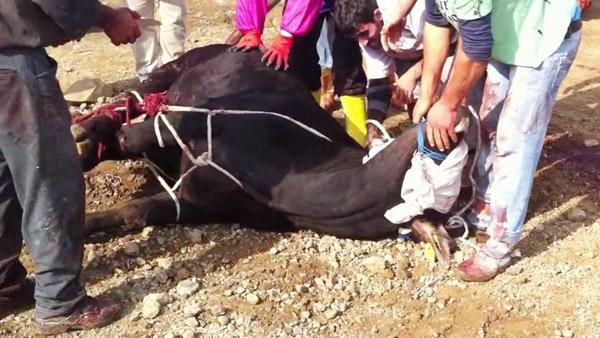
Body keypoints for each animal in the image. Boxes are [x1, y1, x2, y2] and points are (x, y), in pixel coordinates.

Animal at [75, 44, 460, 264]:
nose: (454, 125)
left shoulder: (198, 203)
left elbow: (135, 211)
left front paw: (86, 224)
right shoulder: (198, 117)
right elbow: (136, 133)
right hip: (172, 70)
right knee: (131, 98)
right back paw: (86, 132)